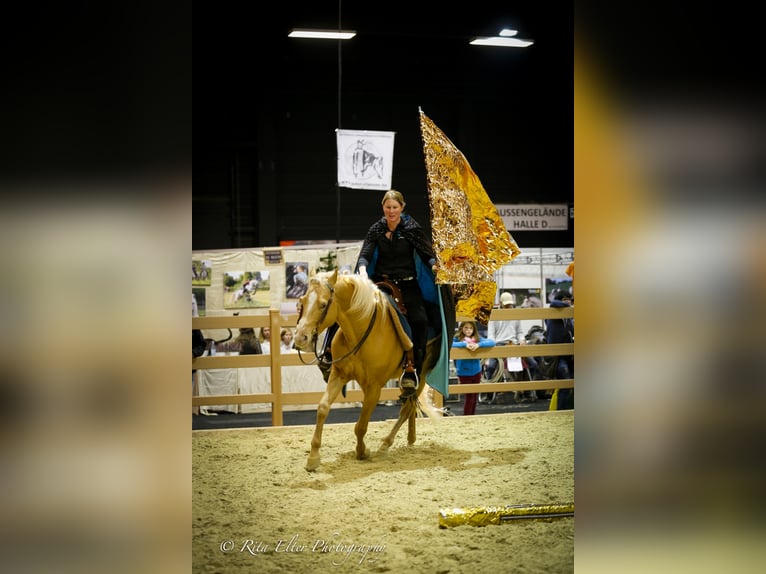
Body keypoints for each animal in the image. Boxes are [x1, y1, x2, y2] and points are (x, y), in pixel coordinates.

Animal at [294, 269, 451, 472]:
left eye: (323, 304)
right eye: (302, 301)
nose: (300, 337)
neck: (359, 332)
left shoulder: (374, 388)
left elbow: (360, 426)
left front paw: (362, 452)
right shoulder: (338, 374)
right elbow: (322, 408)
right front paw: (313, 457)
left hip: (421, 377)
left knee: (406, 409)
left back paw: (386, 443)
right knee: (409, 408)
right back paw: (409, 438)